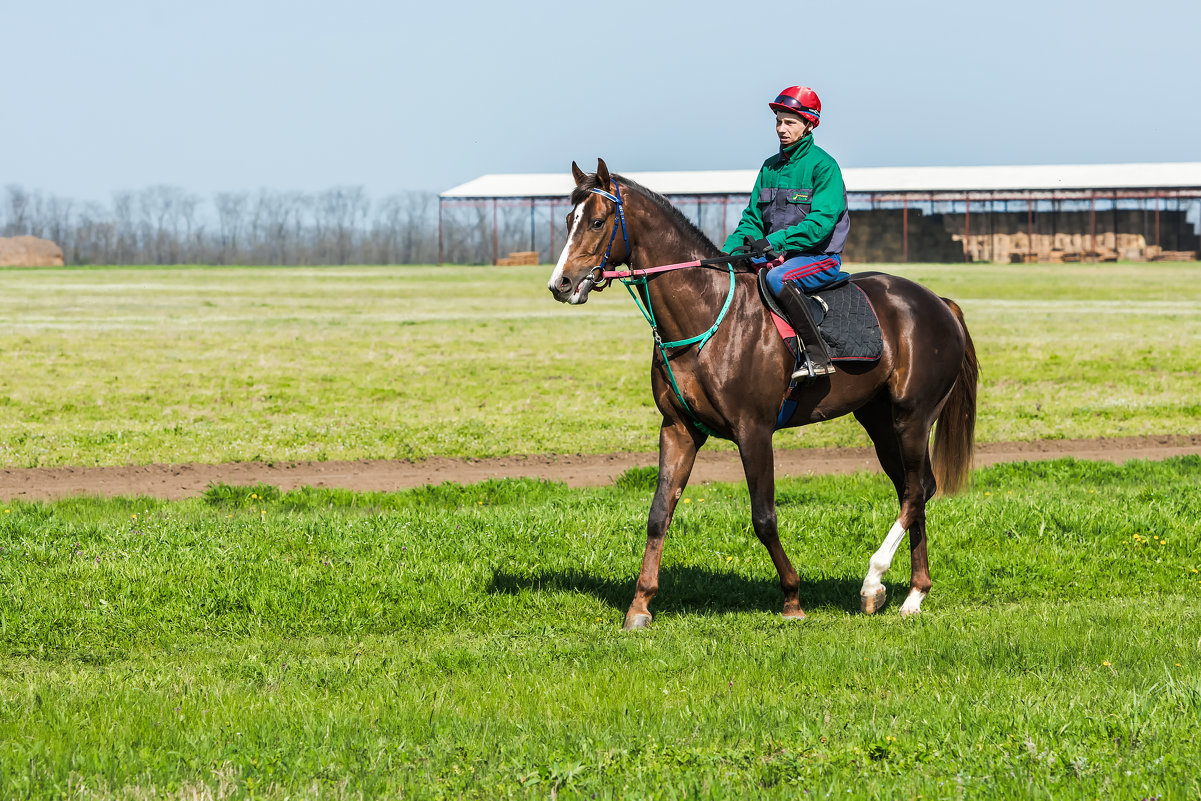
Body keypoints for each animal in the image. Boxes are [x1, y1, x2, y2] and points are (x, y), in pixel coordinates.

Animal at [550, 158, 980, 634]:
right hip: (880, 421)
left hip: (912, 418)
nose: (562, 283)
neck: (705, 316)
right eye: (569, 219)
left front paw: (792, 598)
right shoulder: (678, 429)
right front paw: (640, 605)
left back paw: (874, 581)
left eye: (597, 221)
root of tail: (937, 303)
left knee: (915, 491)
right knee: (916, 489)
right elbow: (659, 514)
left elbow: (763, 517)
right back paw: (914, 593)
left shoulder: (753, 430)